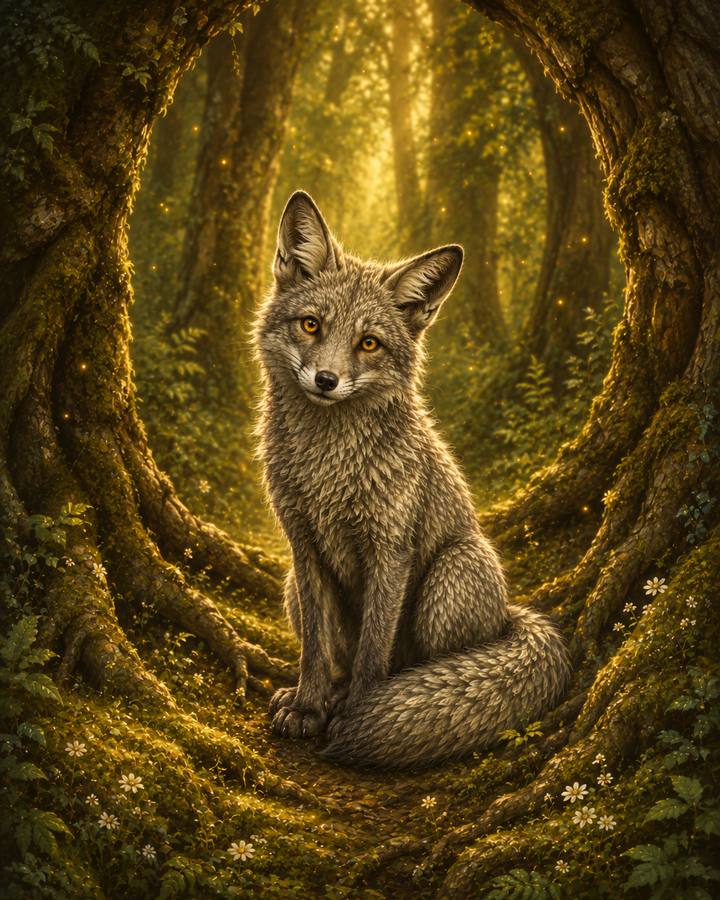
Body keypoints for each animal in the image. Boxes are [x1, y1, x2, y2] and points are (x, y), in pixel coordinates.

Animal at [254, 190, 571, 768]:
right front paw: (309, 707)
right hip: (292, 586)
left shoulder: (391, 550)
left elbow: (373, 655)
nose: (326, 380)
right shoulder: (303, 549)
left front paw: (358, 715)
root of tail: (509, 615)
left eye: (369, 344)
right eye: (311, 326)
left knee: (420, 665)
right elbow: (314, 650)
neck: (329, 469)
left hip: (448, 577)